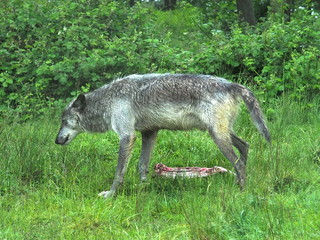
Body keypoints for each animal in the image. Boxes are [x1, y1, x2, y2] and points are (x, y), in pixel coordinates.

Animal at [55, 74, 270, 198]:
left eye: (64, 121)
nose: (56, 140)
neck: (110, 99)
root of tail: (232, 85)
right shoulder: (149, 133)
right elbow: (142, 165)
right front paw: (143, 188)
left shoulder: (127, 136)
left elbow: (119, 172)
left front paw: (111, 194)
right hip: (220, 132)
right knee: (245, 147)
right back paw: (239, 184)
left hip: (217, 136)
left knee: (238, 163)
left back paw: (241, 193)